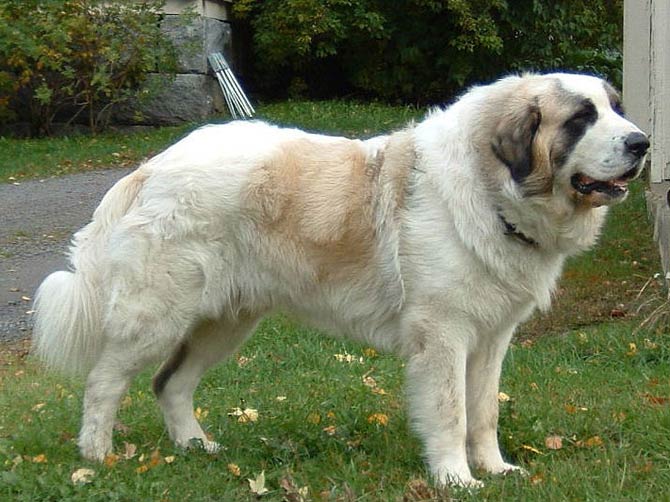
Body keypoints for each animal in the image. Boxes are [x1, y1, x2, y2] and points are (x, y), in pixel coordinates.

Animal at [32, 71, 652, 486]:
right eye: (581, 118)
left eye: (616, 108)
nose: (642, 142)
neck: (489, 187)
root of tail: (152, 166)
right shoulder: (443, 335)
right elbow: (451, 412)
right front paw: (456, 480)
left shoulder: (492, 337)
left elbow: (484, 411)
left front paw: (495, 470)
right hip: (156, 316)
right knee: (104, 381)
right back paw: (96, 458)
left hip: (225, 322)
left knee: (171, 383)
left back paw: (197, 448)